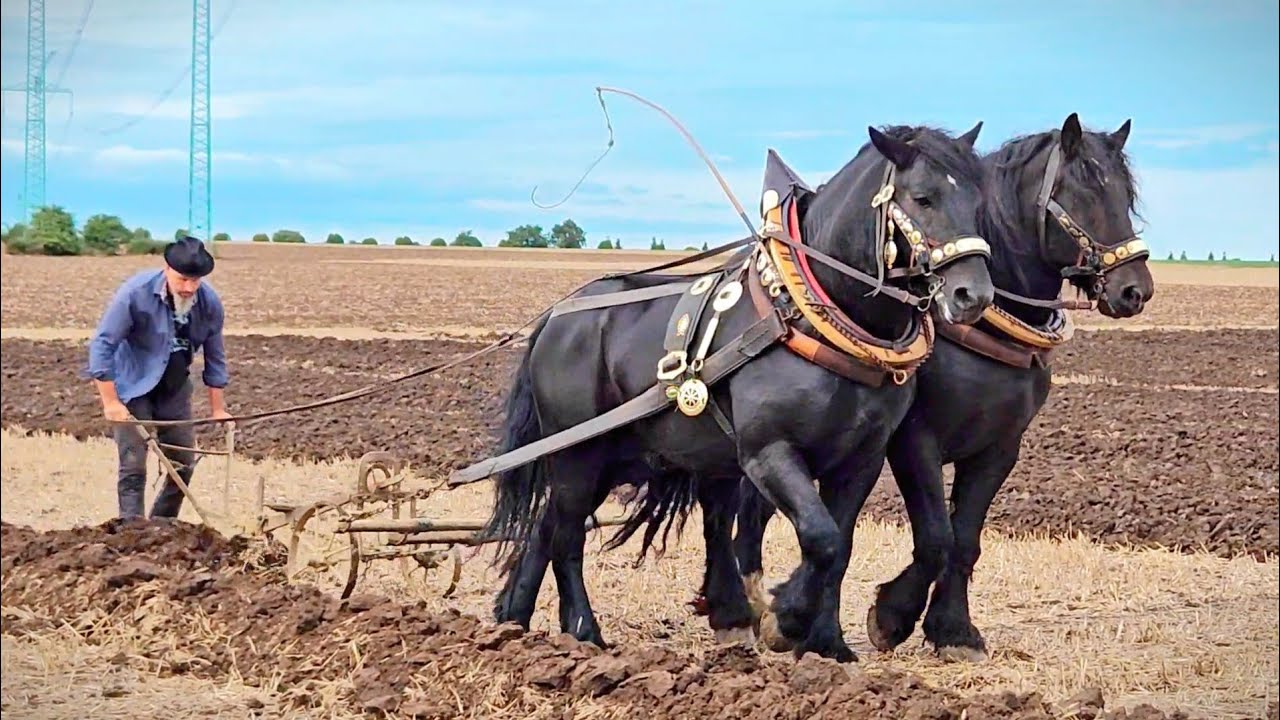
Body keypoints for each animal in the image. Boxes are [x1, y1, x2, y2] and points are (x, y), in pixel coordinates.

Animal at [474, 122, 998, 663]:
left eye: (978, 203)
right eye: (923, 198)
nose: (973, 295)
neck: (809, 315)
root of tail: (561, 314)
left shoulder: (862, 460)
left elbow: (842, 547)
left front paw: (827, 643)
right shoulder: (768, 453)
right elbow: (821, 538)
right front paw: (784, 618)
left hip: (610, 457)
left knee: (547, 526)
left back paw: (516, 621)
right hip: (578, 454)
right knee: (566, 535)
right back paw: (583, 631)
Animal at [727, 112, 1156, 661]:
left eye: (1126, 195)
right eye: (1082, 192)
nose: (1135, 290)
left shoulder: (1000, 447)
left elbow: (965, 538)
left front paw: (953, 629)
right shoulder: (915, 440)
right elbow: (936, 537)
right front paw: (891, 617)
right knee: (753, 514)